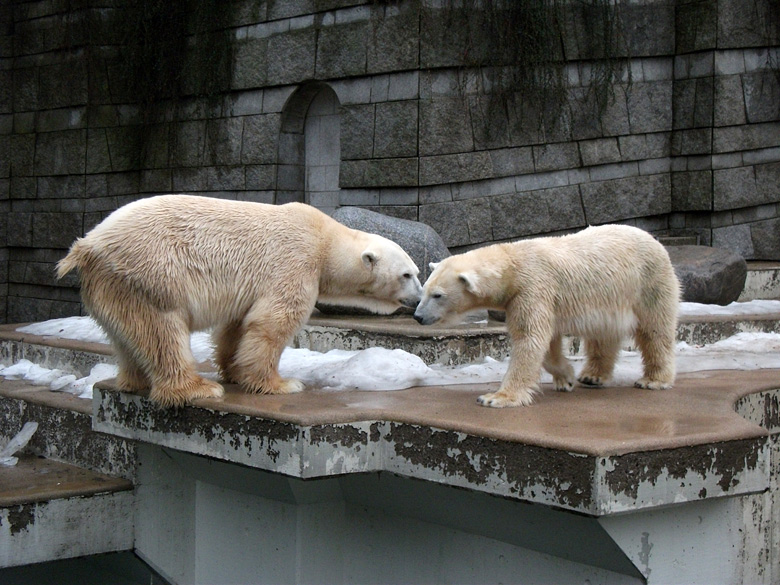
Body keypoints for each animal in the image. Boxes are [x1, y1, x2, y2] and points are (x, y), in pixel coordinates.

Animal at [55, 195, 424, 406]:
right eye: (408, 274)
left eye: (418, 272)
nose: (419, 300)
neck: (325, 239)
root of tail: (87, 246)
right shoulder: (294, 260)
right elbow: (273, 321)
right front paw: (280, 383)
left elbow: (237, 324)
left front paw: (233, 371)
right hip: (151, 272)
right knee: (161, 330)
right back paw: (196, 388)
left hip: (115, 285)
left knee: (128, 333)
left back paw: (135, 381)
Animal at [414, 224, 684, 406]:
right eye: (424, 289)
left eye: (437, 295)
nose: (418, 316)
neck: (513, 265)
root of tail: (655, 240)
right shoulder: (534, 298)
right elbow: (547, 342)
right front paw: (566, 378)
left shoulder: (532, 287)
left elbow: (530, 338)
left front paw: (496, 397)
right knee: (602, 335)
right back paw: (593, 376)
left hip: (649, 282)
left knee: (654, 330)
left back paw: (654, 380)